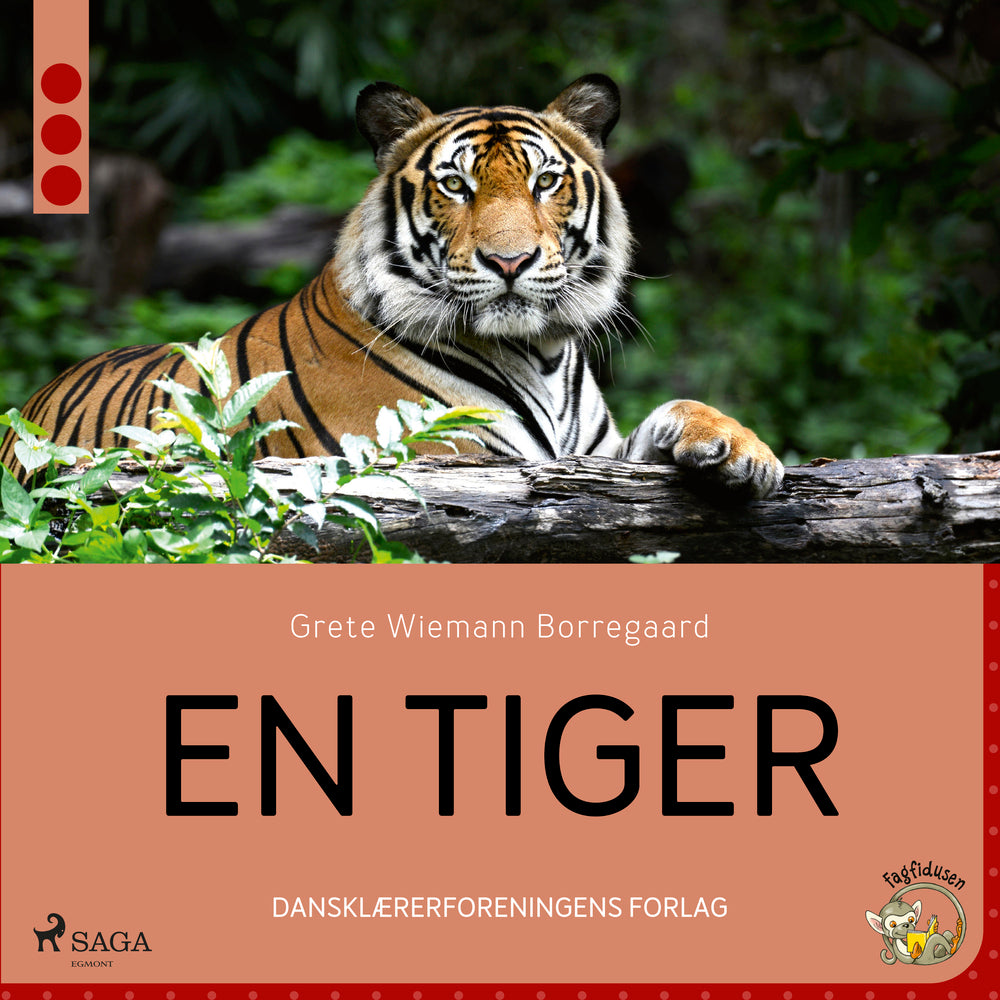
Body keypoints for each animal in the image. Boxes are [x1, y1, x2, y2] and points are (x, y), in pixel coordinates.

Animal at [1, 74, 783, 497]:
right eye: (456, 185)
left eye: (544, 182)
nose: (510, 262)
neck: (541, 353)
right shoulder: (449, 460)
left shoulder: (596, 458)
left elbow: (675, 410)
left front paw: (742, 451)